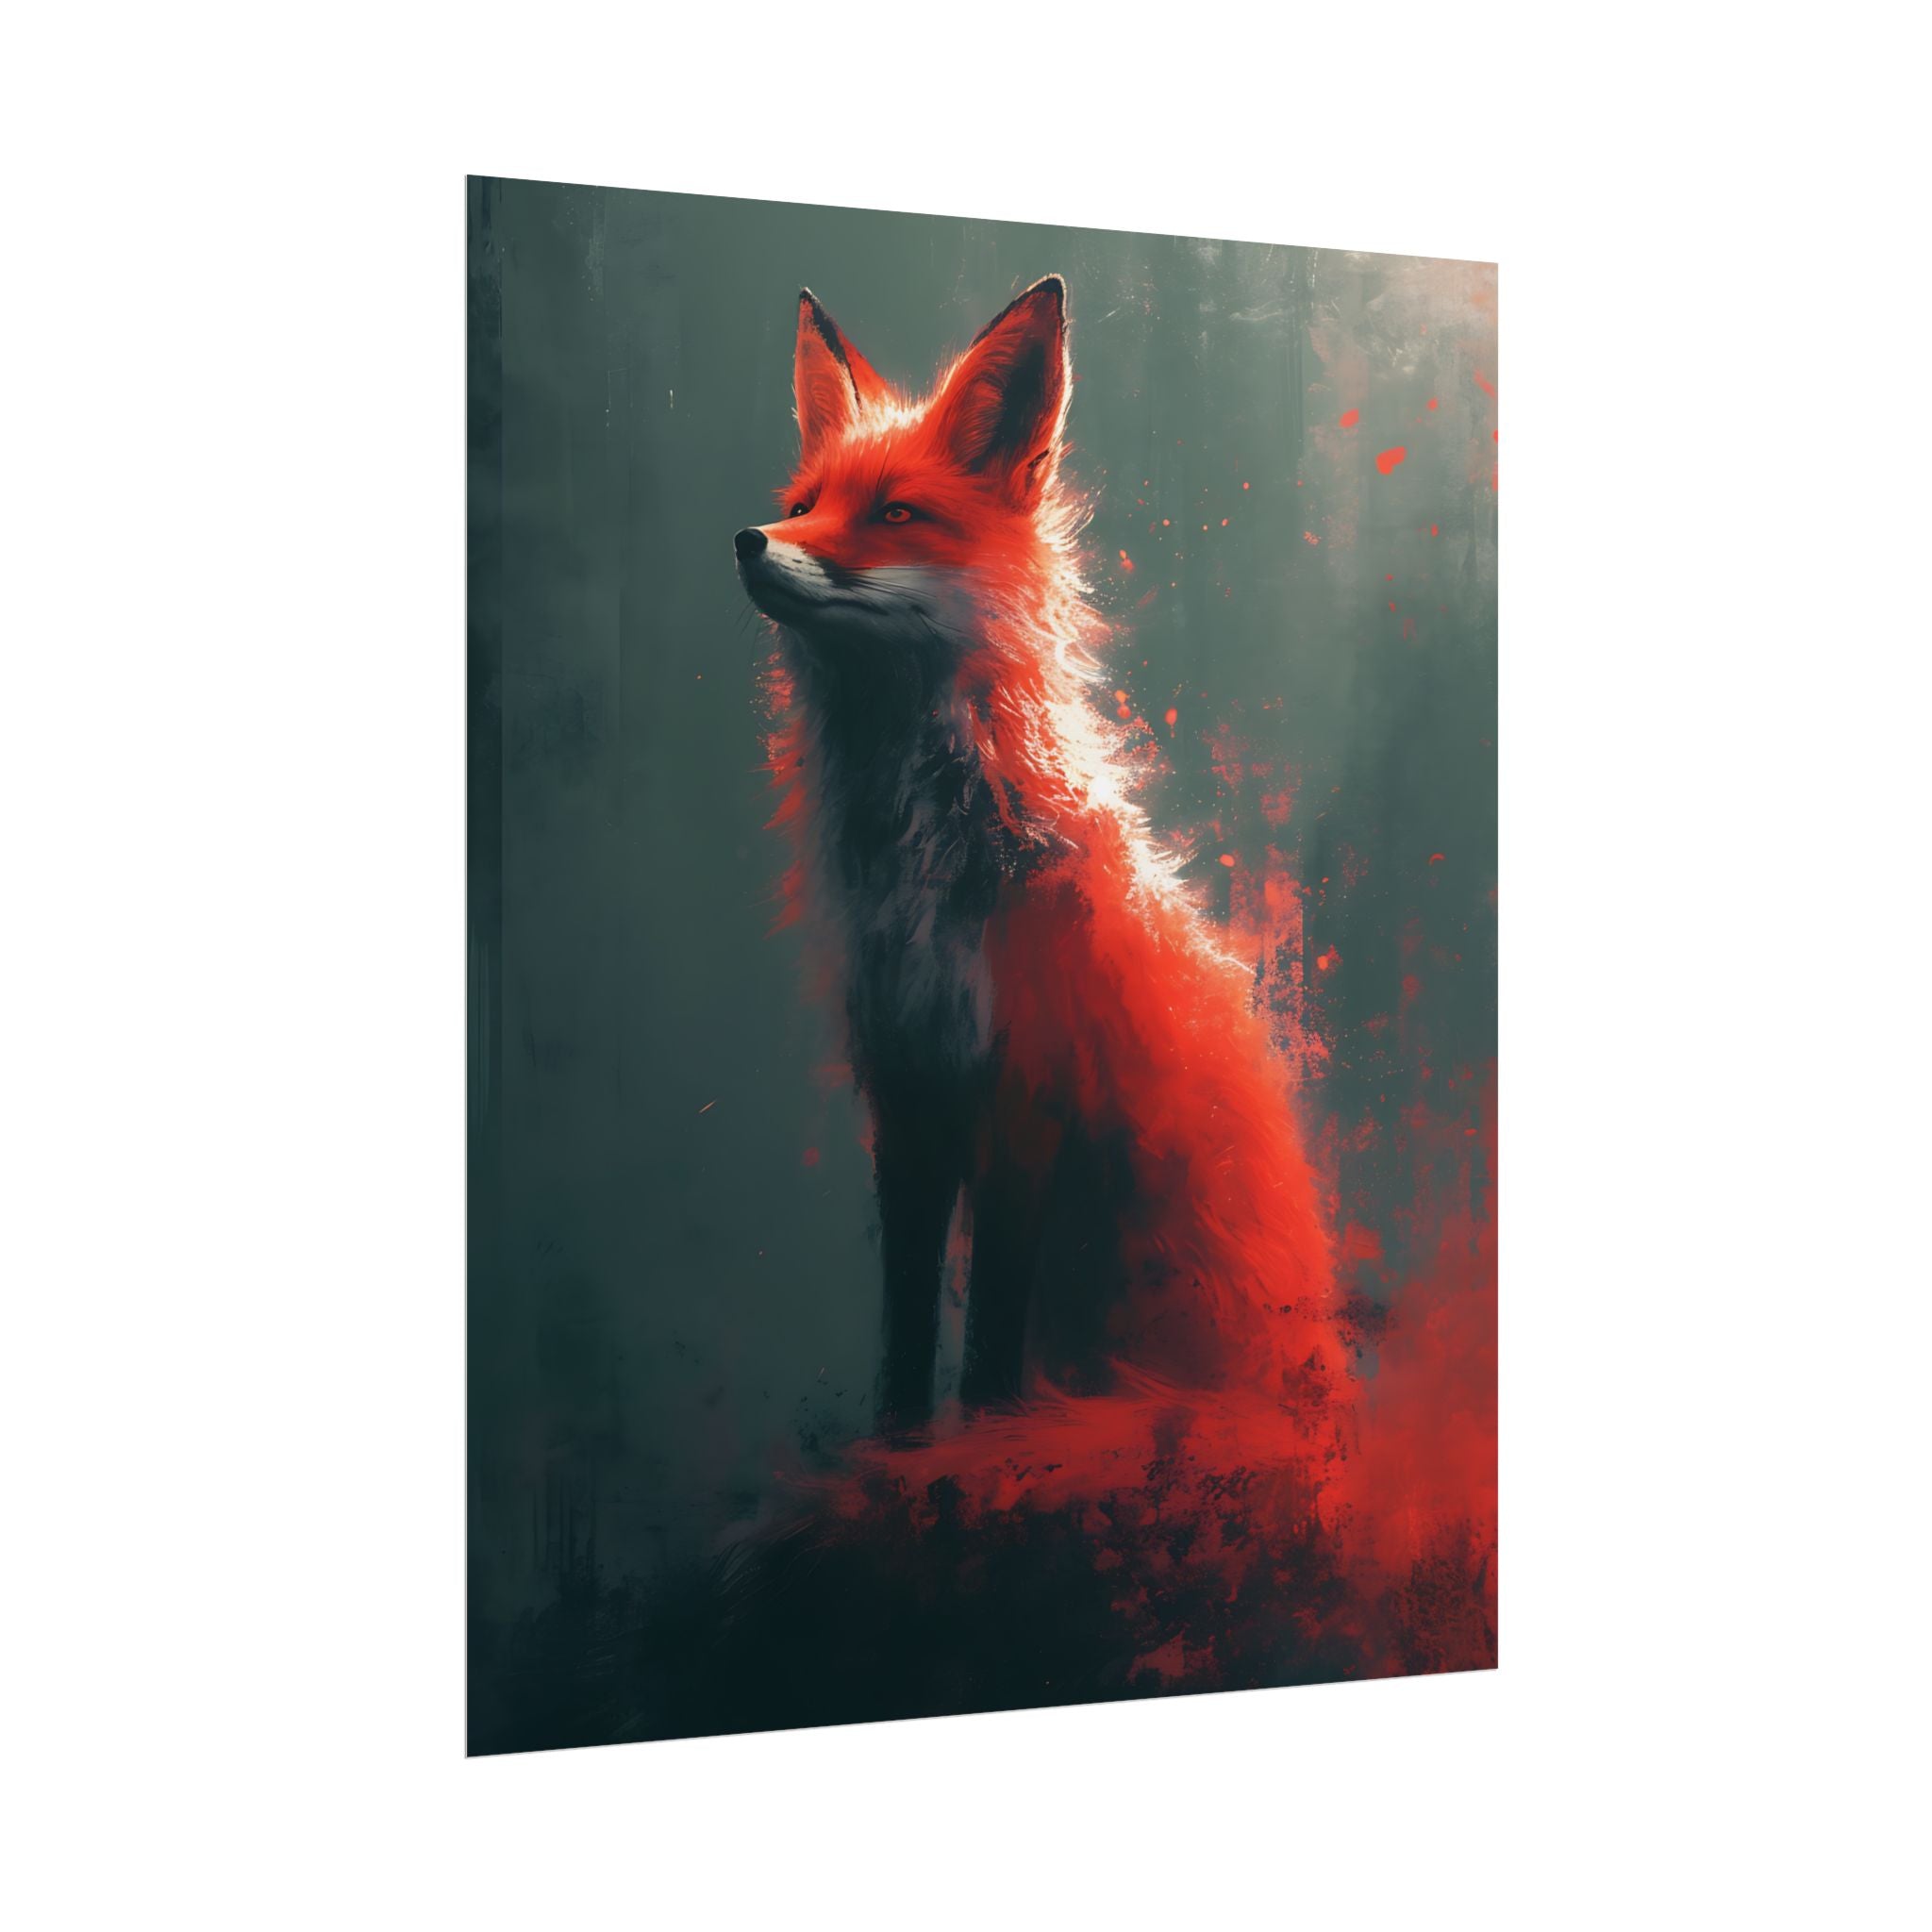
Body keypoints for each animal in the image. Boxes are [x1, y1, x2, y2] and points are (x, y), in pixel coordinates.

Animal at [735, 277, 1346, 1444]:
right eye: (800, 502)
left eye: (893, 512)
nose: (747, 539)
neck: (926, 864)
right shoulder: (906, 1086)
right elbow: (907, 1314)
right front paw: (898, 1441)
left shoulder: (1026, 1087)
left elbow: (988, 1333)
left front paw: (981, 1436)